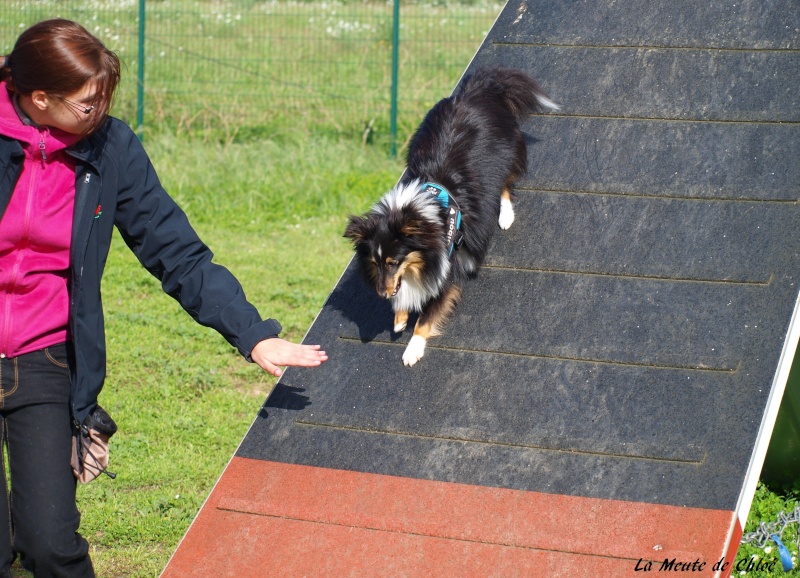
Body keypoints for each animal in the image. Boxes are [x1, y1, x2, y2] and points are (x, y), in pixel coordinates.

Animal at [344, 67, 556, 364]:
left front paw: (412, 349)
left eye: (393, 261)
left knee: (503, 184)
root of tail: (474, 92)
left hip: (499, 160)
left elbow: (427, 315)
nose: (381, 293)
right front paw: (399, 317)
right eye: (375, 263)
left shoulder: (446, 269)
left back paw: (505, 216)